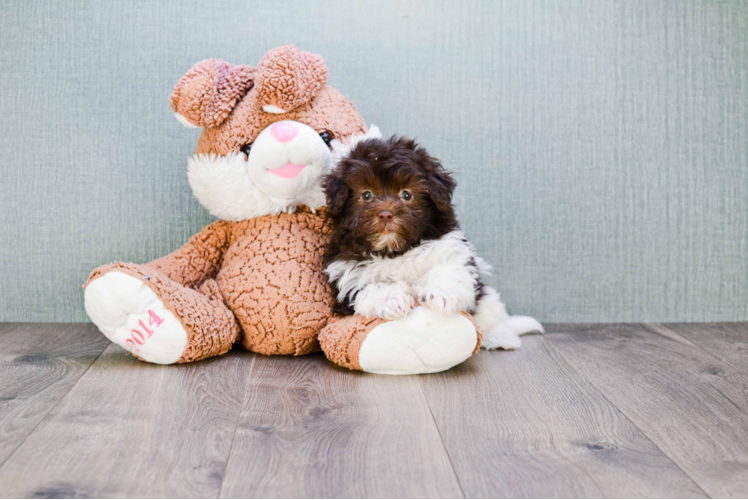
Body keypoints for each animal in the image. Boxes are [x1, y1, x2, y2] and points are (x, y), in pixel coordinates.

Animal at [322, 135, 544, 350]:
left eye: (406, 194)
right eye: (366, 194)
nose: (386, 214)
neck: (397, 250)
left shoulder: (450, 246)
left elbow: (448, 270)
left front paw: (443, 294)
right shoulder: (347, 272)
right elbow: (368, 287)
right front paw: (391, 299)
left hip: (486, 299)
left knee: (490, 311)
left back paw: (499, 335)